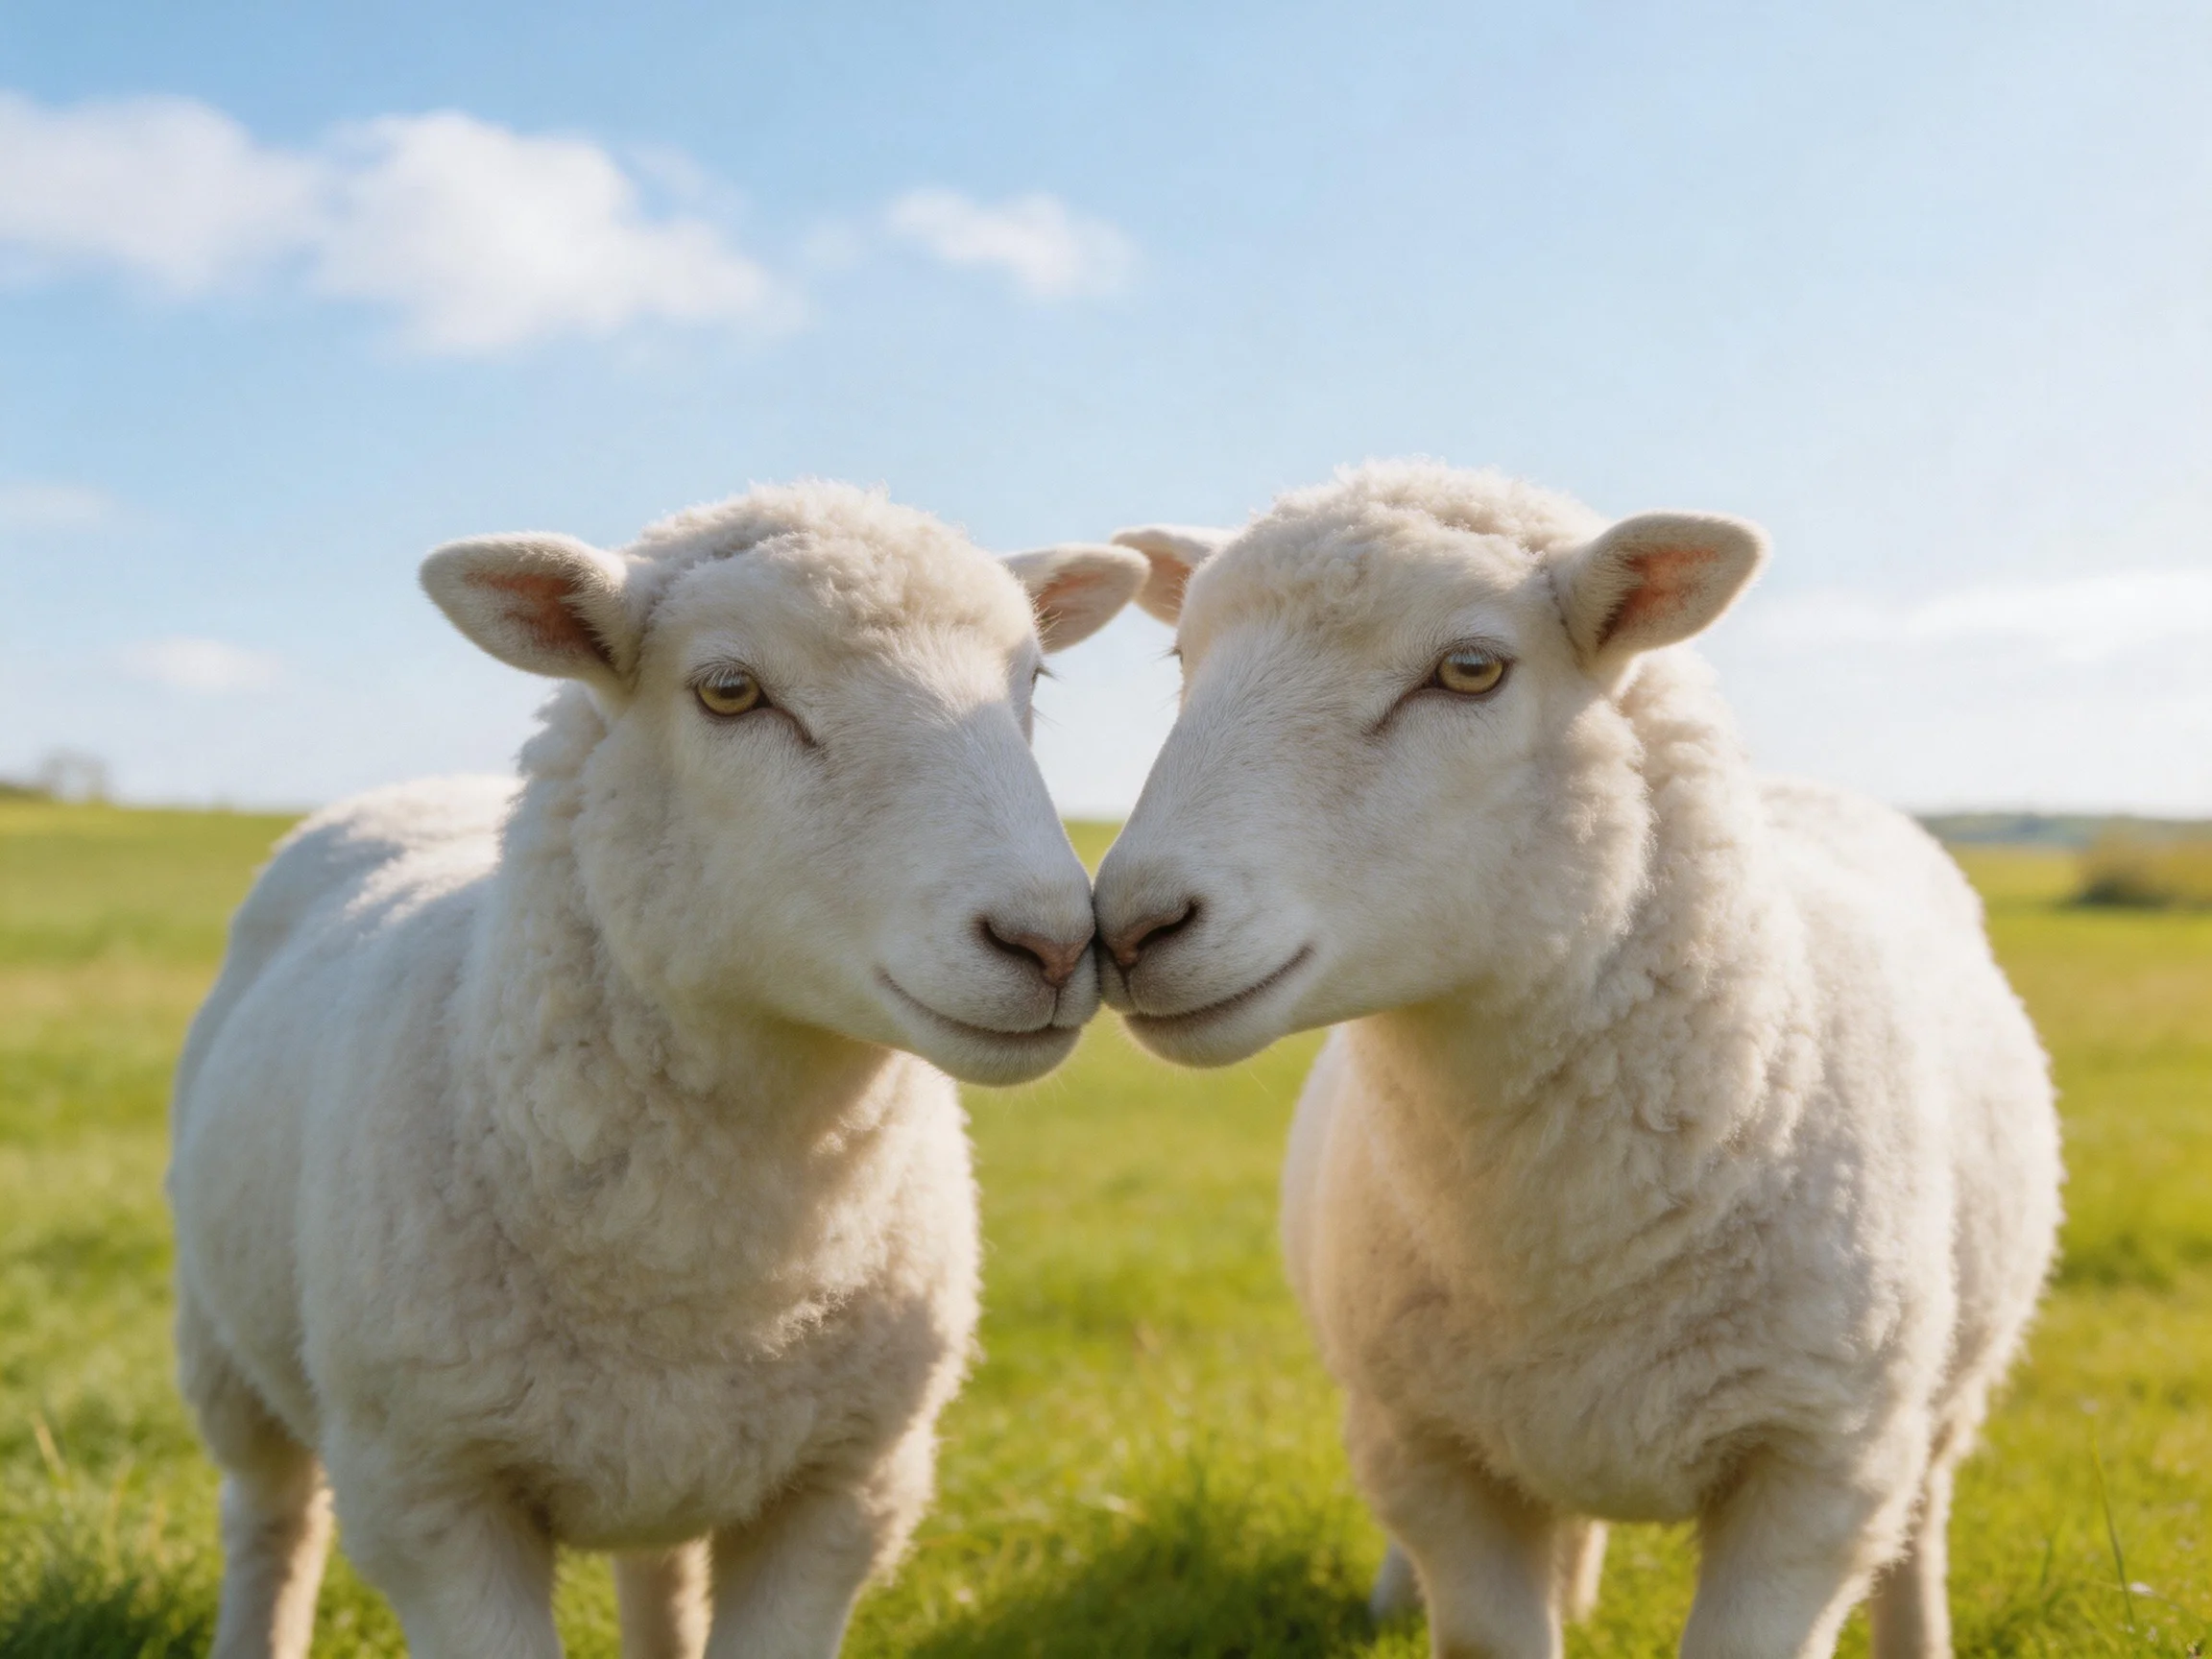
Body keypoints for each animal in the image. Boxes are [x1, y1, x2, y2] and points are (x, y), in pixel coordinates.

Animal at [167, 481, 1149, 1659]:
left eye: (1031, 681)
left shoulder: (847, 1488)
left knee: (658, 1568)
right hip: (225, 1346)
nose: (1050, 944)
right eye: (728, 691)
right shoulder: (432, 1496)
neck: (709, 1277)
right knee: (271, 1517)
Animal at [1091, 462, 2061, 1659]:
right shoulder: (1429, 1450)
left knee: (1919, 1523)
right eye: (1185, 659)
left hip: (1938, 1402)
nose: (1131, 927)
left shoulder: (1816, 1471)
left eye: (1472, 669)